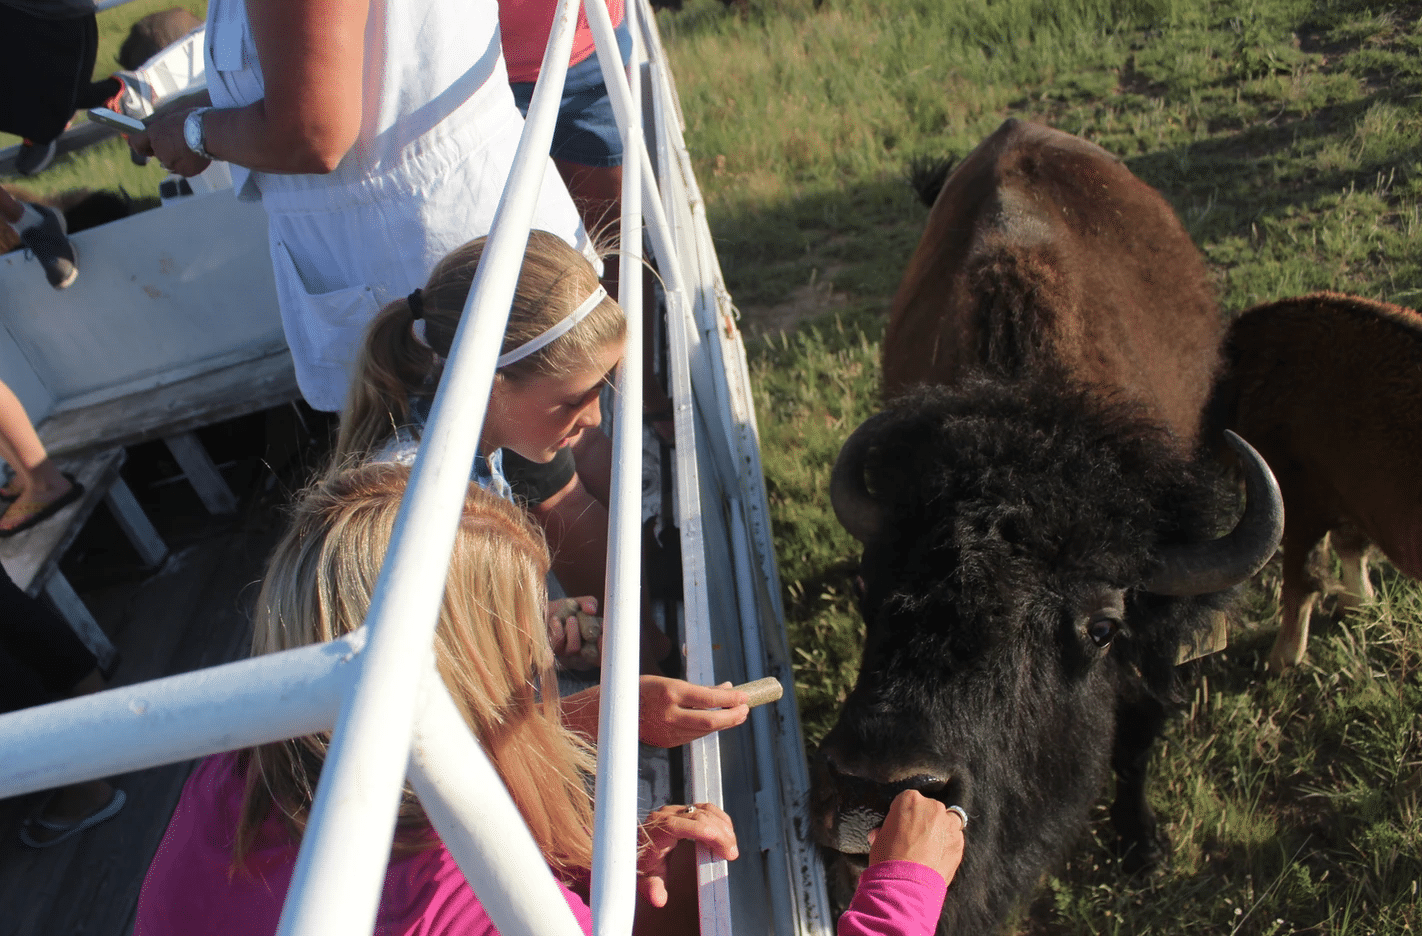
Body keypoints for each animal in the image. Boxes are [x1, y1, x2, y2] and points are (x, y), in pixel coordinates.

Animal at [1211, 295, 1422, 665]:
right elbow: (1350, 548)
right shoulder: (1347, 497)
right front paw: (1356, 605)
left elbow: (1301, 583)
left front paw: (1281, 660)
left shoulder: (1299, 507)